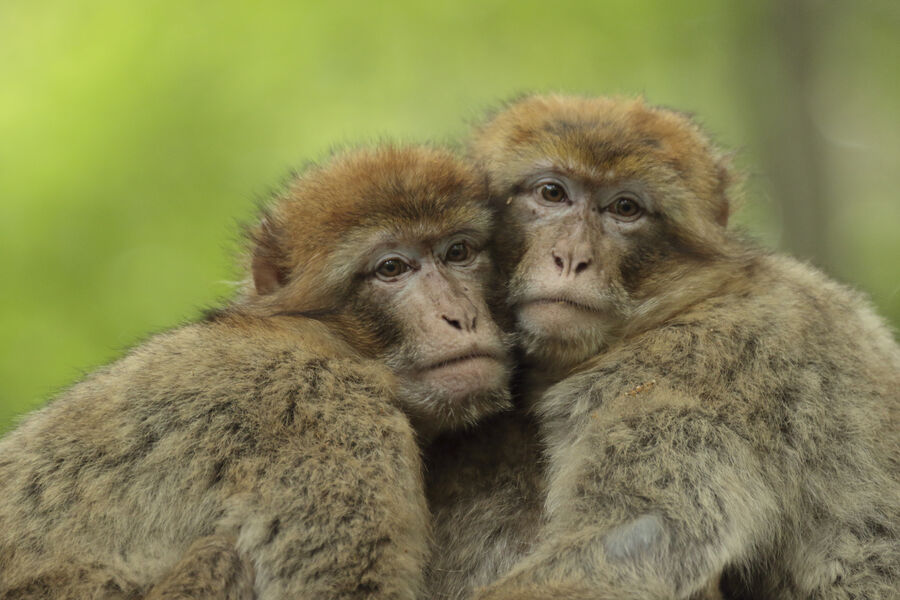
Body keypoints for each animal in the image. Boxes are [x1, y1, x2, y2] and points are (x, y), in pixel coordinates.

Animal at [0, 145, 512, 600]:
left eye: (458, 252)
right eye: (392, 268)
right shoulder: (330, 422)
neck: (330, 343)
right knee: (221, 556)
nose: (460, 317)